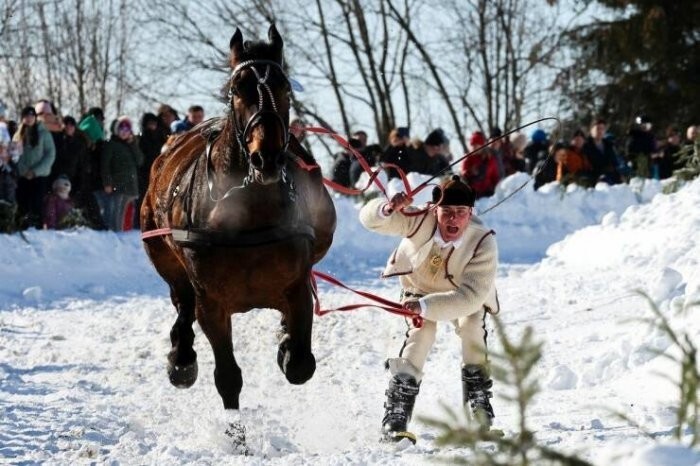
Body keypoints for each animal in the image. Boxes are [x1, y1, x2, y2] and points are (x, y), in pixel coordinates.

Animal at [140, 26, 336, 412]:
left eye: (284, 87)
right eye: (237, 89)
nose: (266, 157)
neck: (249, 214)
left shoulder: (296, 285)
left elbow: (300, 363)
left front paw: (287, 346)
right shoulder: (212, 301)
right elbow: (227, 375)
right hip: (160, 250)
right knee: (181, 299)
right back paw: (181, 358)